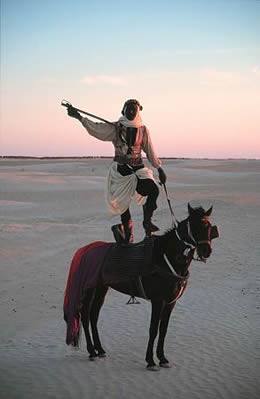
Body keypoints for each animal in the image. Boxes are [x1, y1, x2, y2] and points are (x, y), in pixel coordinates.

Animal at [64, 205, 218, 370]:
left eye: (209, 226)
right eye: (194, 226)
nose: (206, 251)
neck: (165, 258)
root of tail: (83, 250)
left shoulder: (171, 302)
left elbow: (163, 330)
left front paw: (162, 358)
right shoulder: (158, 301)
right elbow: (153, 330)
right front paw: (150, 360)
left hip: (101, 289)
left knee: (93, 316)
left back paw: (100, 349)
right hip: (89, 290)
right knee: (86, 317)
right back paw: (92, 351)